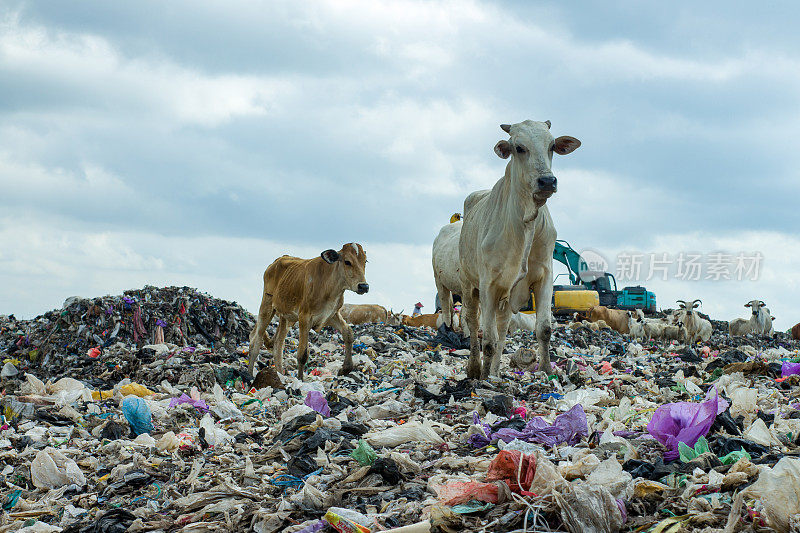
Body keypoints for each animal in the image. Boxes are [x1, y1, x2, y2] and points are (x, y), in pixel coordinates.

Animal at [247, 243, 368, 380]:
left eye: (365, 261)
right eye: (347, 262)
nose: (363, 286)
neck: (330, 287)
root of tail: (277, 261)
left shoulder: (331, 315)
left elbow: (348, 333)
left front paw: (345, 368)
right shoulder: (304, 317)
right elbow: (302, 354)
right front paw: (300, 379)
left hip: (286, 316)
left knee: (278, 344)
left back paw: (280, 374)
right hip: (267, 304)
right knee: (256, 339)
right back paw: (250, 374)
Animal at [456, 120, 580, 378]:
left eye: (552, 146)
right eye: (519, 148)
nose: (547, 181)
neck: (526, 220)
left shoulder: (544, 276)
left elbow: (544, 329)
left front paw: (546, 371)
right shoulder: (488, 284)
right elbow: (488, 340)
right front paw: (483, 379)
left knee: (502, 328)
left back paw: (494, 372)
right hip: (468, 283)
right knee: (472, 322)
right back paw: (476, 369)